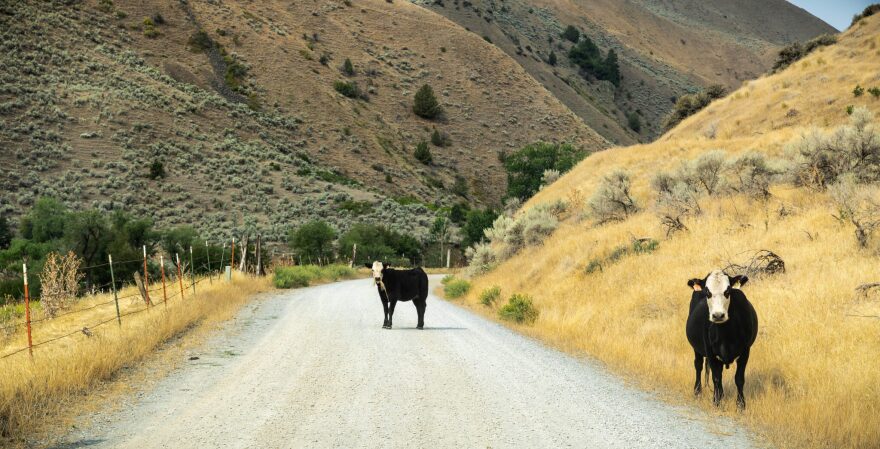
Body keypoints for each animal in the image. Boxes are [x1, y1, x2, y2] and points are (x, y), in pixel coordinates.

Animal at [686, 269, 758, 409]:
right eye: (707, 292)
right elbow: (716, 378)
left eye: (728, 291)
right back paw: (698, 391)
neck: (726, 335)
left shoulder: (745, 351)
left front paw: (741, 405)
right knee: (698, 365)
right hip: (697, 349)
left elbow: (739, 378)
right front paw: (716, 402)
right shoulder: (710, 352)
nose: (718, 315)